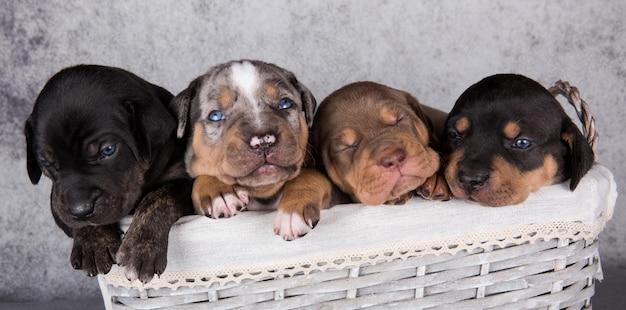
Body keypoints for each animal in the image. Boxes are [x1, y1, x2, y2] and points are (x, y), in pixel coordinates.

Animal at [23, 64, 193, 282]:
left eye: (108, 150)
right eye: (46, 162)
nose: (80, 210)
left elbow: (159, 197)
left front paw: (140, 248)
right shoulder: (57, 204)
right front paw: (95, 242)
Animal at [171, 60, 332, 240]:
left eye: (285, 104)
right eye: (215, 116)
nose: (263, 141)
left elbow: (308, 176)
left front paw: (292, 211)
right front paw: (218, 191)